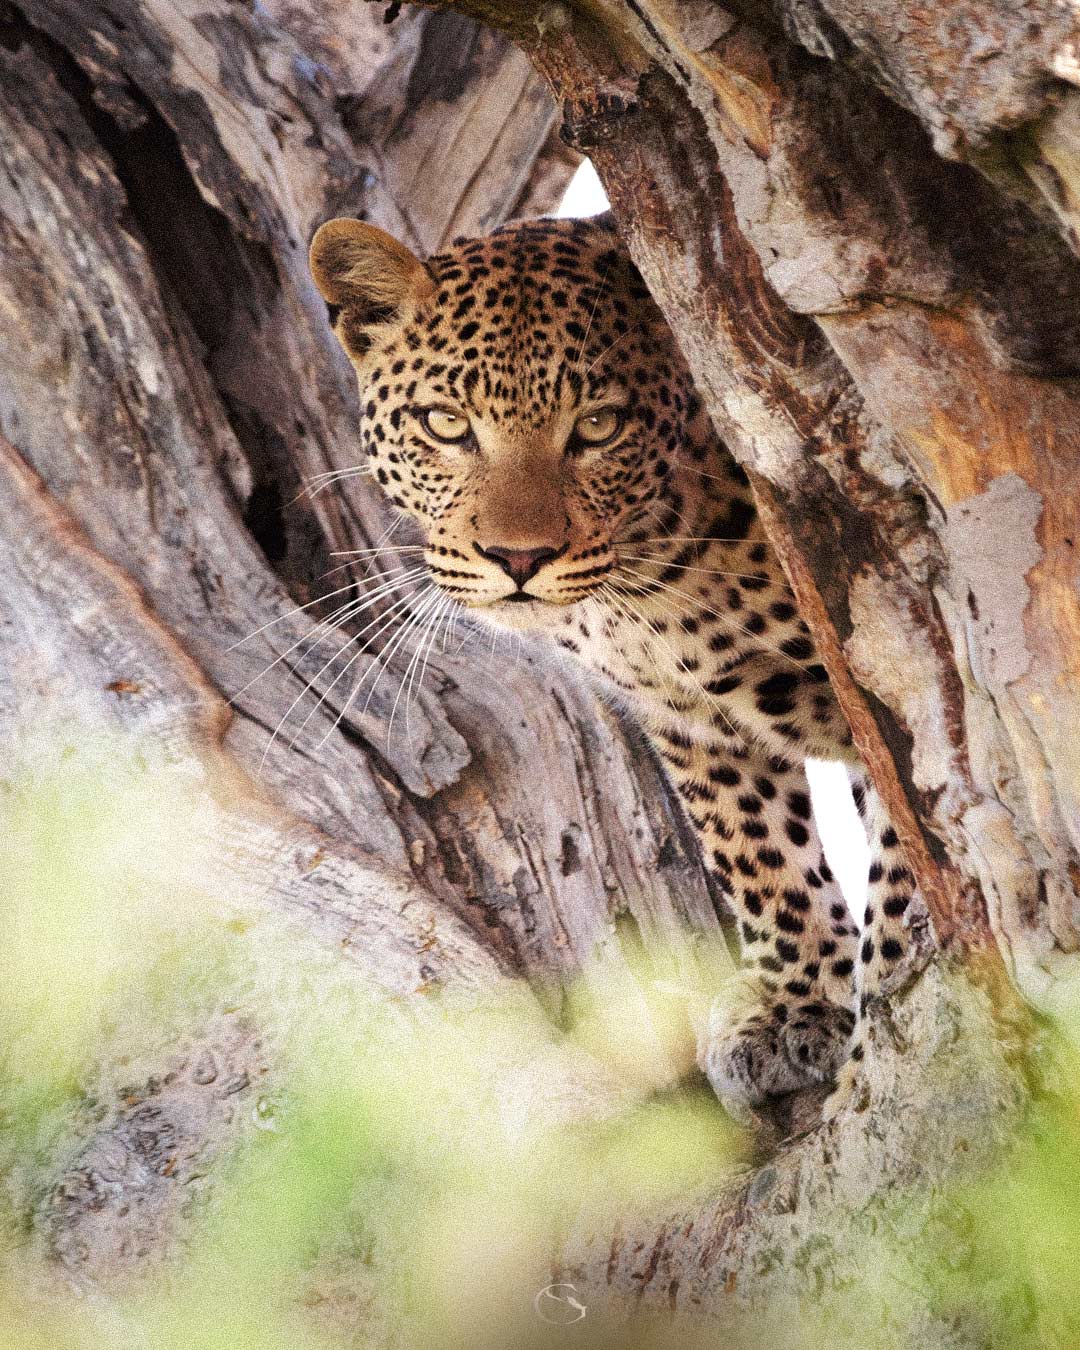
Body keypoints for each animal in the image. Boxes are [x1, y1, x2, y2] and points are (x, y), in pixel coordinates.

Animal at [307, 209, 923, 1119]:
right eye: (446, 424)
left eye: (598, 427)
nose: (517, 558)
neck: (648, 587)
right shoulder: (687, 711)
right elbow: (751, 846)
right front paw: (792, 1004)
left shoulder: (881, 659)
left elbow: (917, 832)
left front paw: (894, 1013)